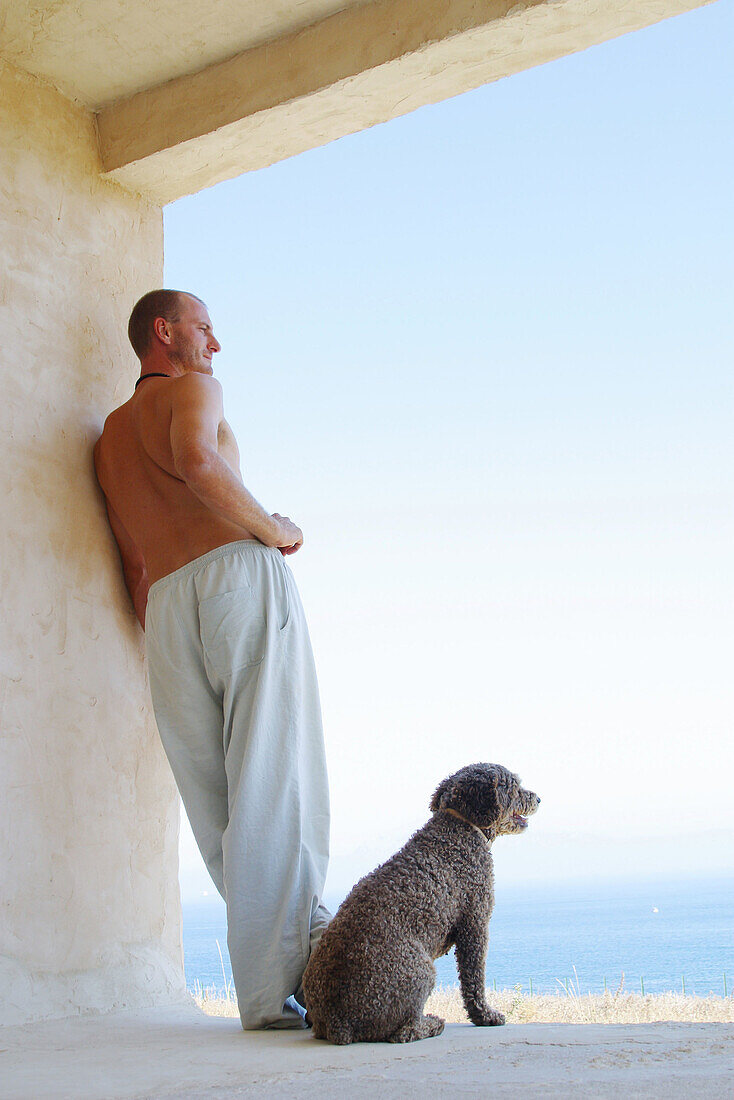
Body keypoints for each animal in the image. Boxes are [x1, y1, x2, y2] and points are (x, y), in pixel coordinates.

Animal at [303, 761, 539, 1042]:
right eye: (514, 786)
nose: (537, 798)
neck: (458, 826)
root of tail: (338, 1023)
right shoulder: (475, 923)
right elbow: (474, 980)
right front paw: (486, 1016)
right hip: (421, 971)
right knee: (403, 1032)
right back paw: (431, 1024)